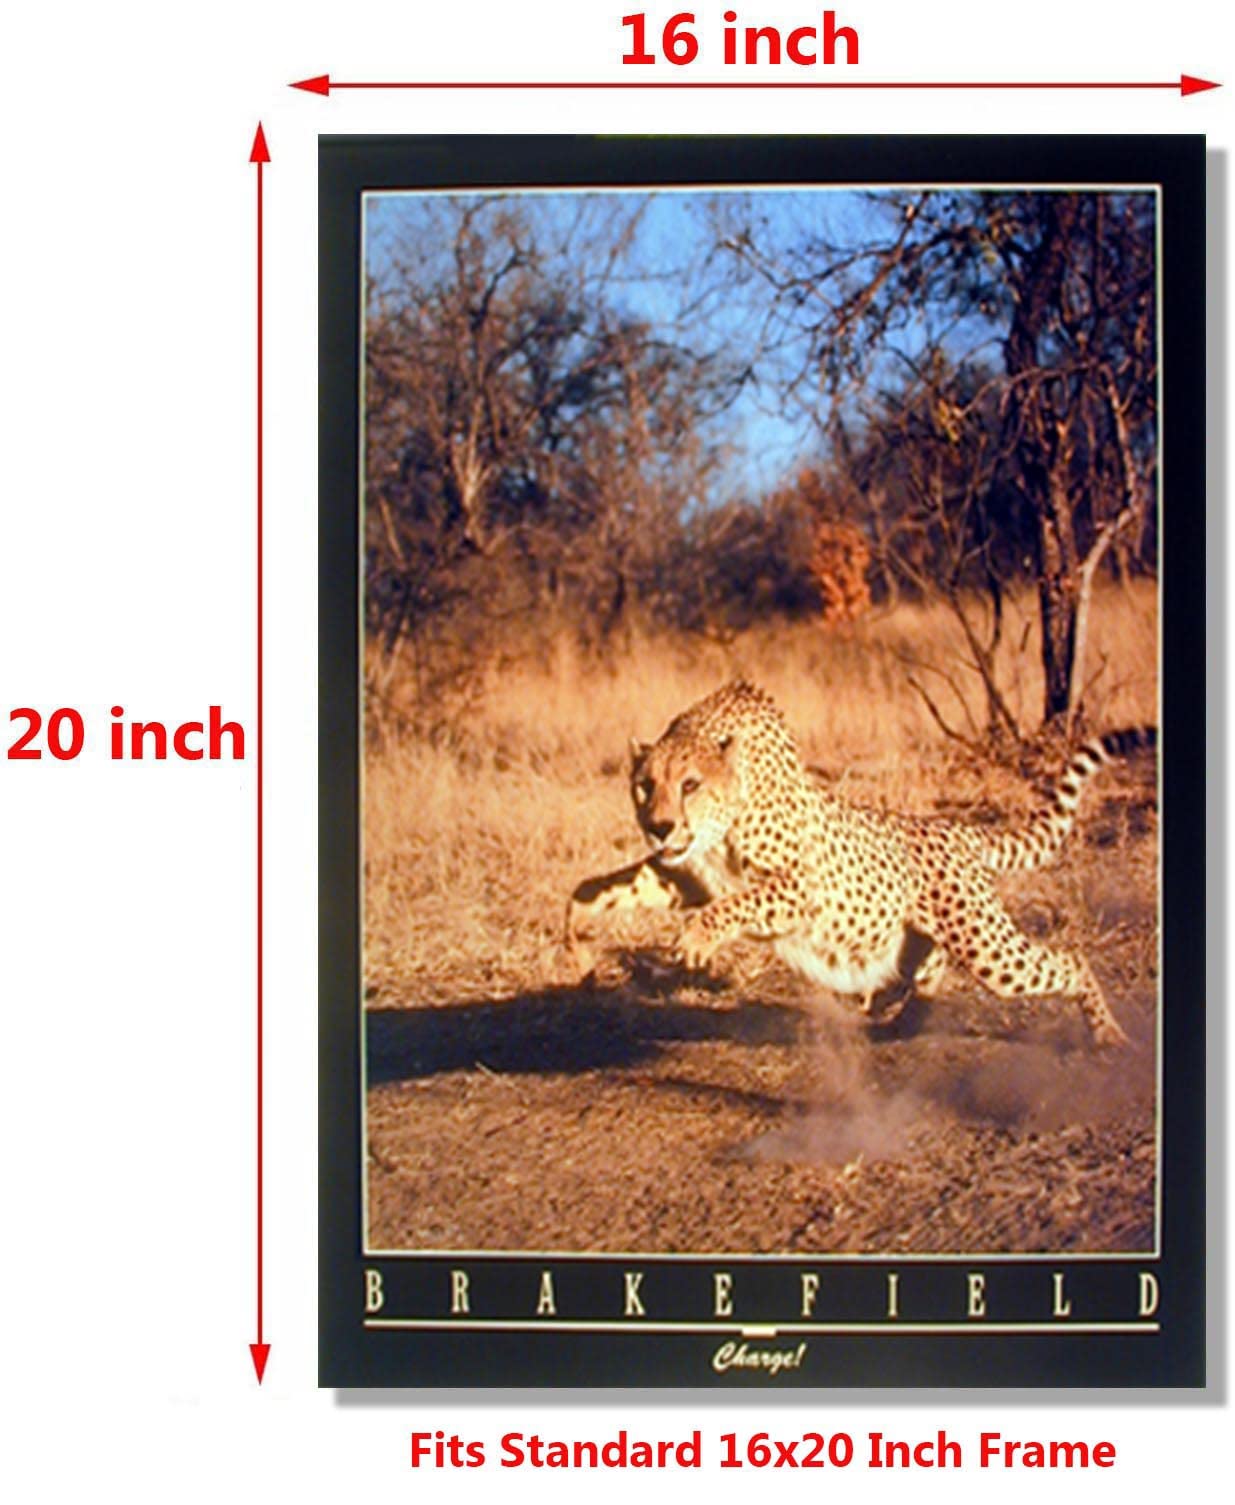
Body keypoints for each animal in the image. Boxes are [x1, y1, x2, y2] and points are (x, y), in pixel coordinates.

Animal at [565, 680, 1155, 1048]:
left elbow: (736, 904)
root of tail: (955, 827)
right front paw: (579, 943)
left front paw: (694, 942)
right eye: (645, 786)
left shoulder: (802, 888)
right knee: (929, 973)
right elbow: (601, 887)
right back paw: (899, 1020)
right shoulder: (686, 876)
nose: (659, 826)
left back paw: (1108, 1034)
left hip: (988, 948)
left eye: (690, 785)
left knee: (1068, 962)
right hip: (920, 942)